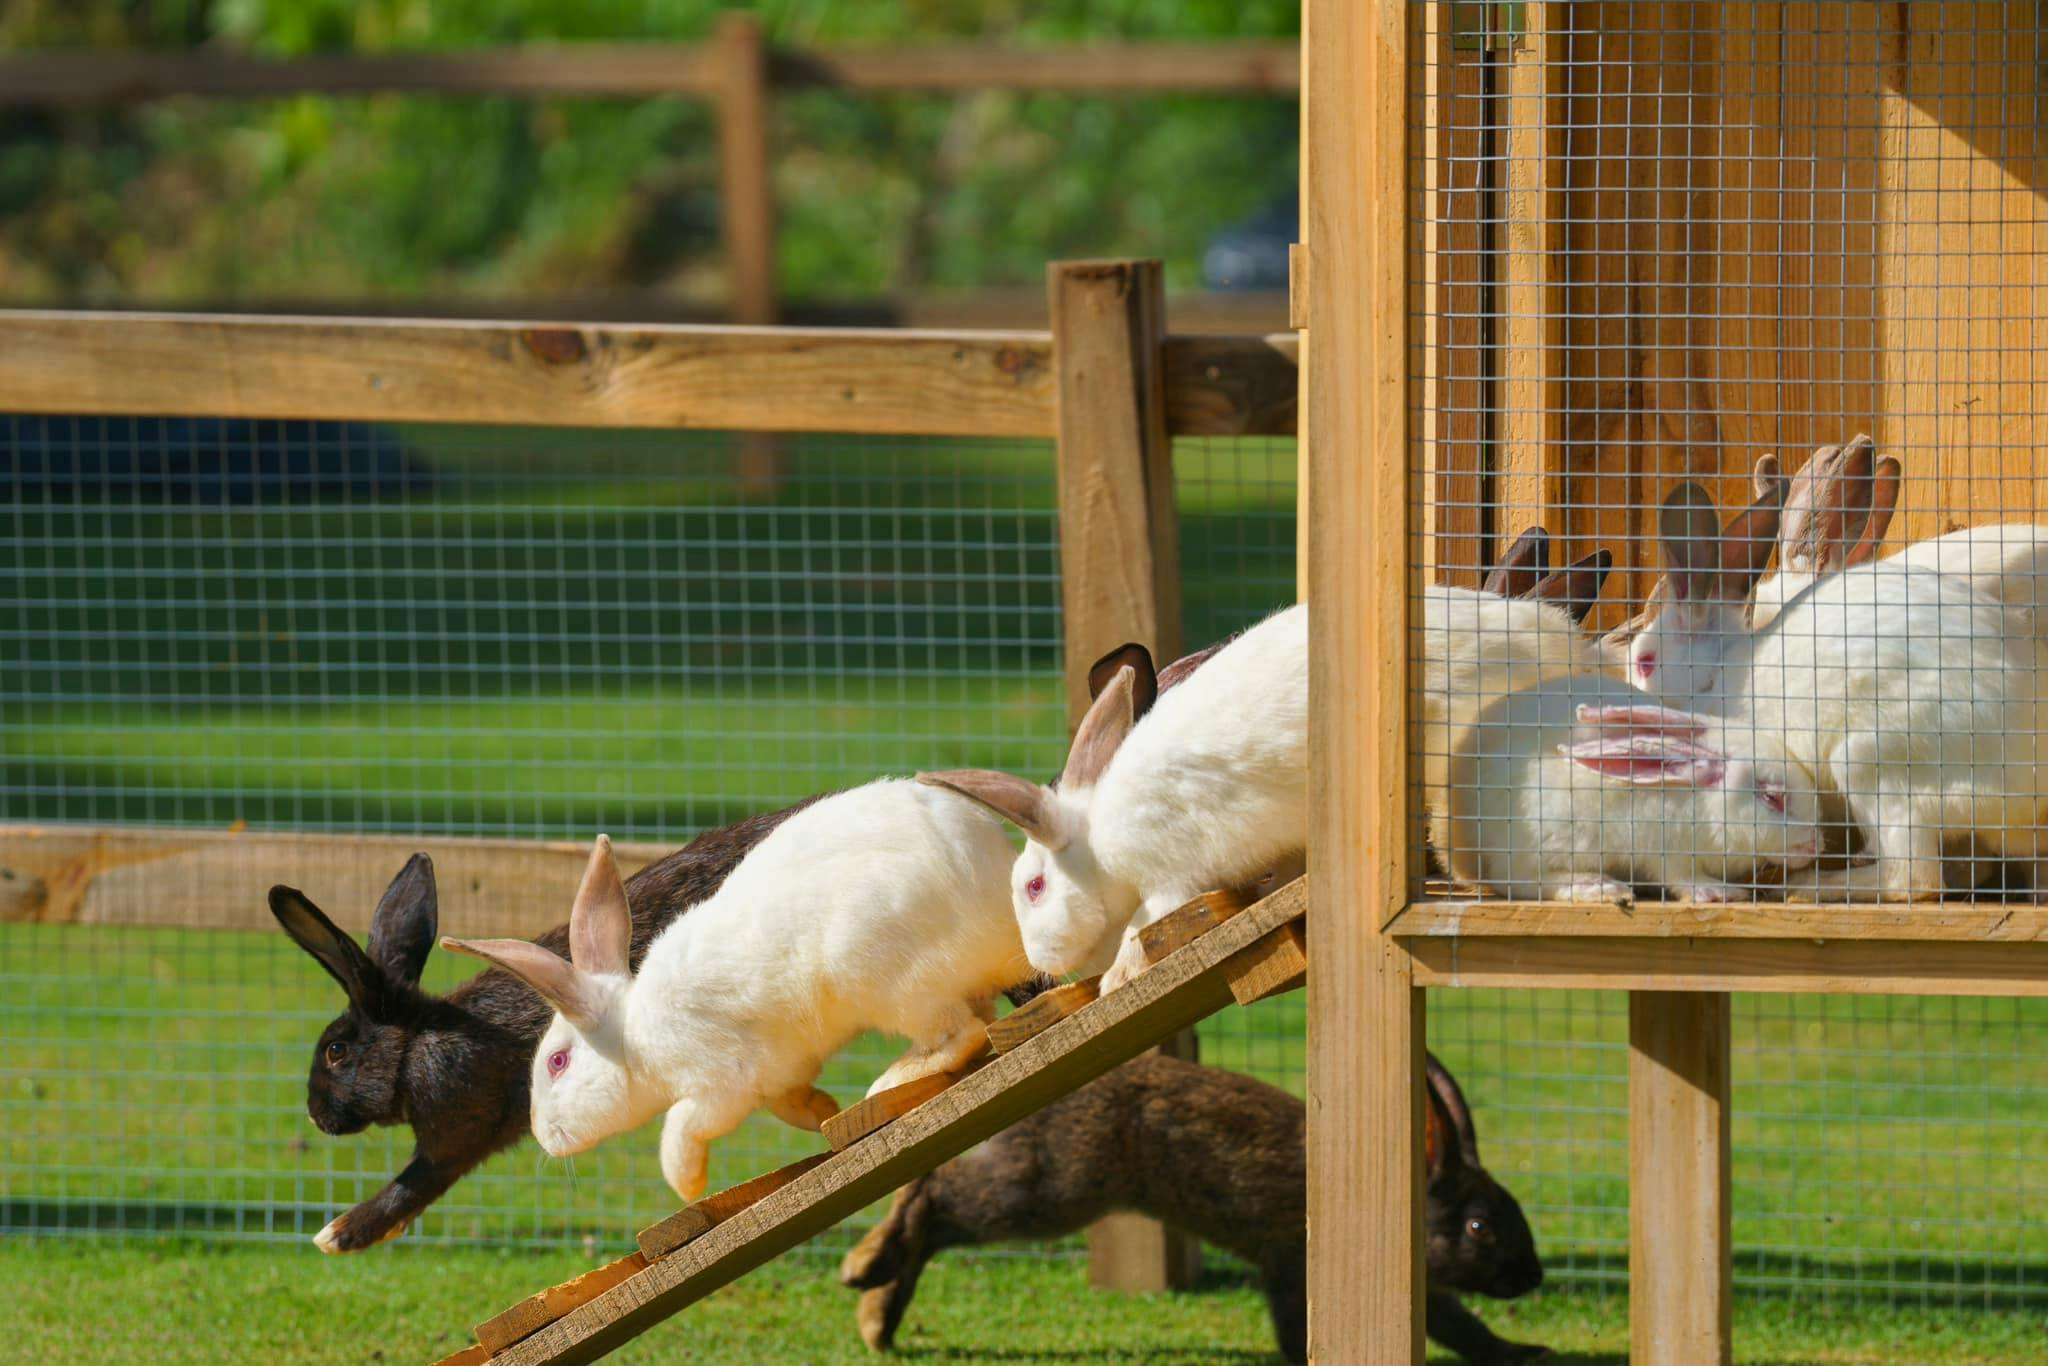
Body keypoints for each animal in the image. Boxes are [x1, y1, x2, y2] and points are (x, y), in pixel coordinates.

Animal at [266, 796, 824, 1252]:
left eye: (336, 1051)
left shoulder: (457, 1130)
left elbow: (412, 1182)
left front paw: (337, 1235)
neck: (416, 1045)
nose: (315, 1115)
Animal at [441, 779, 1030, 1203]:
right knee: (977, 1017)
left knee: (961, 1032)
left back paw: (890, 1080)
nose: (545, 1135)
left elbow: (681, 1125)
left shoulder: (722, 1084)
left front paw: (688, 1184)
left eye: (557, 1063)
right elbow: (787, 1100)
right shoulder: (782, 1071)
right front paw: (820, 1110)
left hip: (885, 976)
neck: (635, 1035)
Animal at [837, 1052, 1548, 1365]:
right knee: (933, 1202)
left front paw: (1523, 1350)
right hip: (1045, 1191)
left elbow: (1461, 1328)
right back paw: (862, 1273)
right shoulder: (1290, 1262)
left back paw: (878, 1318)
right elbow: (1297, 1327)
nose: (1533, 1277)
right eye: (1480, 1227)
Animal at [919, 603, 1310, 994]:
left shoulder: (1173, 880)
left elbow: (1142, 926)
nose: (1039, 961)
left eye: (1035, 887)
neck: (1097, 841)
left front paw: (1114, 981)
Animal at [1443, 674, 1826, 903]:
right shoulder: (1664, 851)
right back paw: (1597, 885)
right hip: (1539, 841)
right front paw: (1720, 892)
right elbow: (1681, 877)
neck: (1701, 806)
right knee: (1516, 880)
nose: (1816, 844)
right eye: (1772, 797)